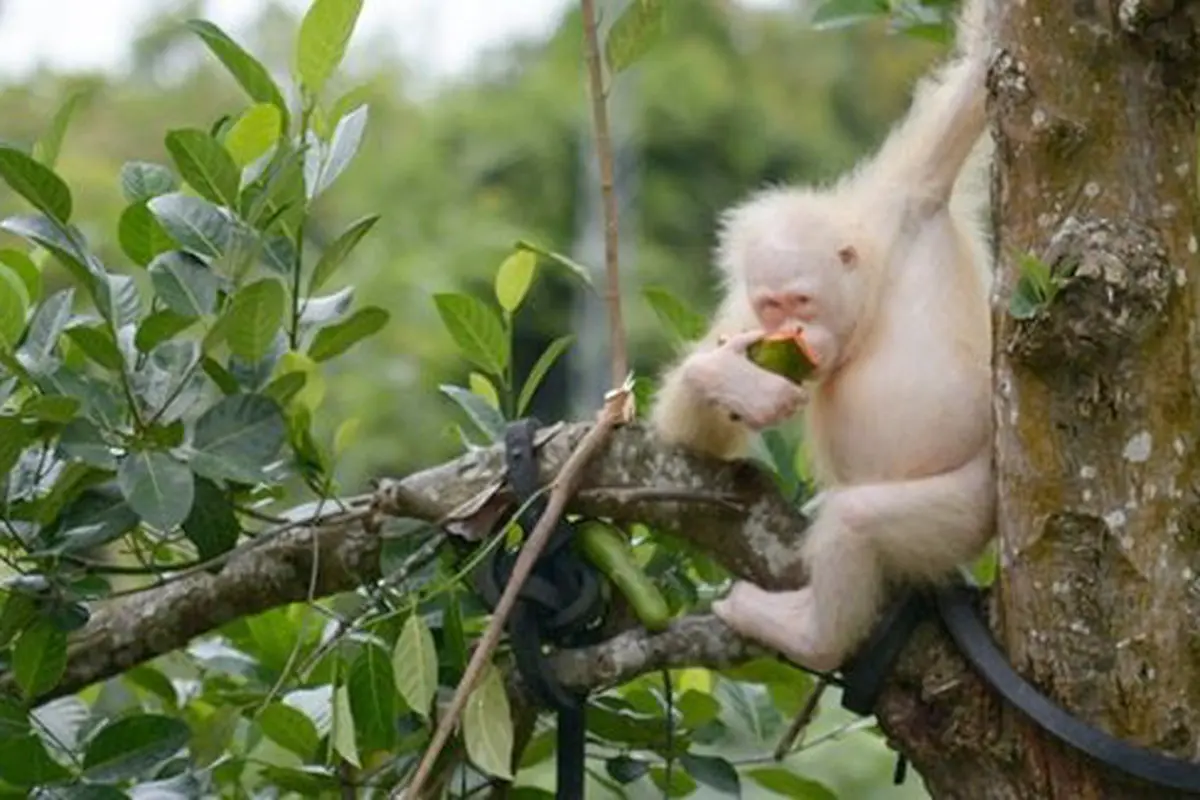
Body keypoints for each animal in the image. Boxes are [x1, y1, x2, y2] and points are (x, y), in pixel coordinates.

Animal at [648, 0, 995, 673]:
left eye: (802, 299)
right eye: (773, 305)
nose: (792, 327)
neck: (871, 295)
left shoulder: (910, 194)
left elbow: (974, 85)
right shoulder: (745, 317)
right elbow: (687, 442)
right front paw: (729, 379)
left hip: (973, 504)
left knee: (860, 519)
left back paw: (814, 636)